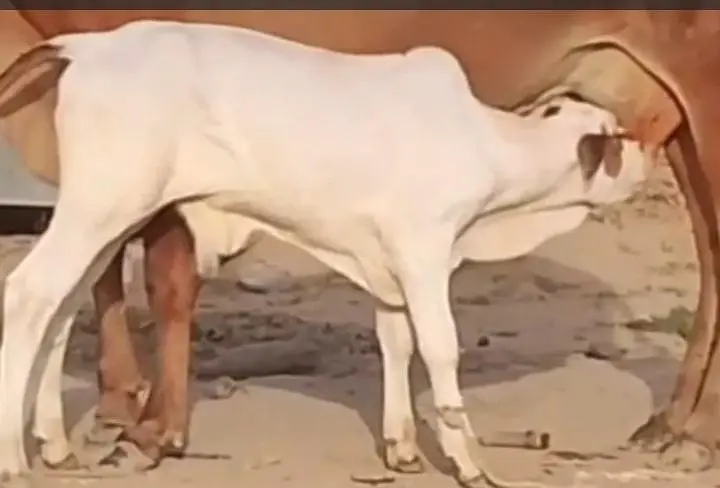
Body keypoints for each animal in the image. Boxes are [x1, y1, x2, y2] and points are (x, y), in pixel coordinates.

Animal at [1, 8, 718, 475]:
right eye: (613, 138)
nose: (646, 150)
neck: (487, 144)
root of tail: (81, 50)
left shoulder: (386, 263)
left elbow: (395, 340)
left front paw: (402, 446)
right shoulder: (424, 250)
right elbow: (441, 348)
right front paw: (467, 460)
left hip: (106, 215)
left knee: (59, 308)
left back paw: (55, 445)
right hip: (103, 207)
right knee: (31, 293)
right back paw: (17, 456)